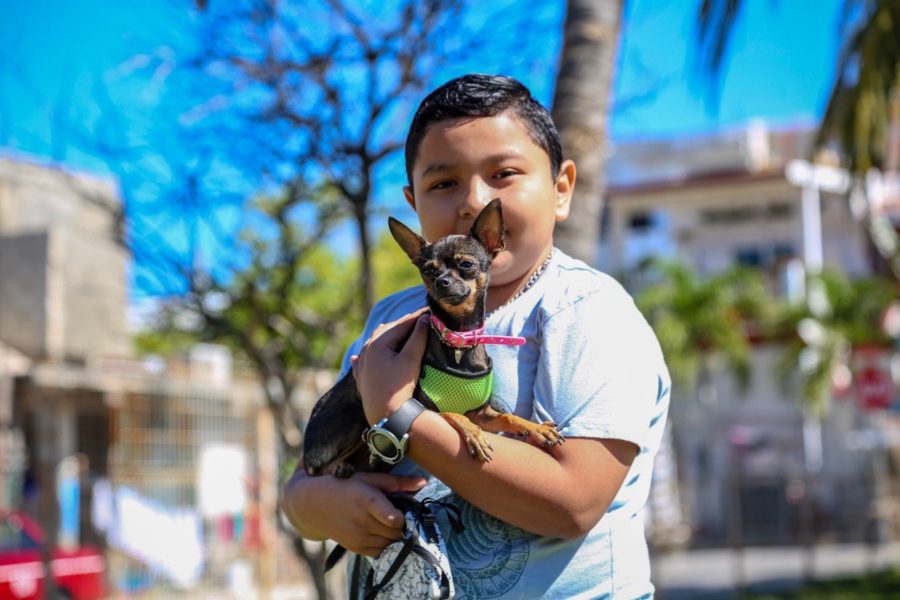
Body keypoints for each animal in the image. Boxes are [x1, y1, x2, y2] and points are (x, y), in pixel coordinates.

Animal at [306, 200, 568, 478]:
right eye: (428, 270)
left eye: (466, 265)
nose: (441, 281)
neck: (459, 339)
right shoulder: (429, 408)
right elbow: (454, 414)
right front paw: (474, 434)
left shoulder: (484, 413)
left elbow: (509, 418)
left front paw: (536, 428)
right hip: (355, 417)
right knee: (320, 469)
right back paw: (341, 466)